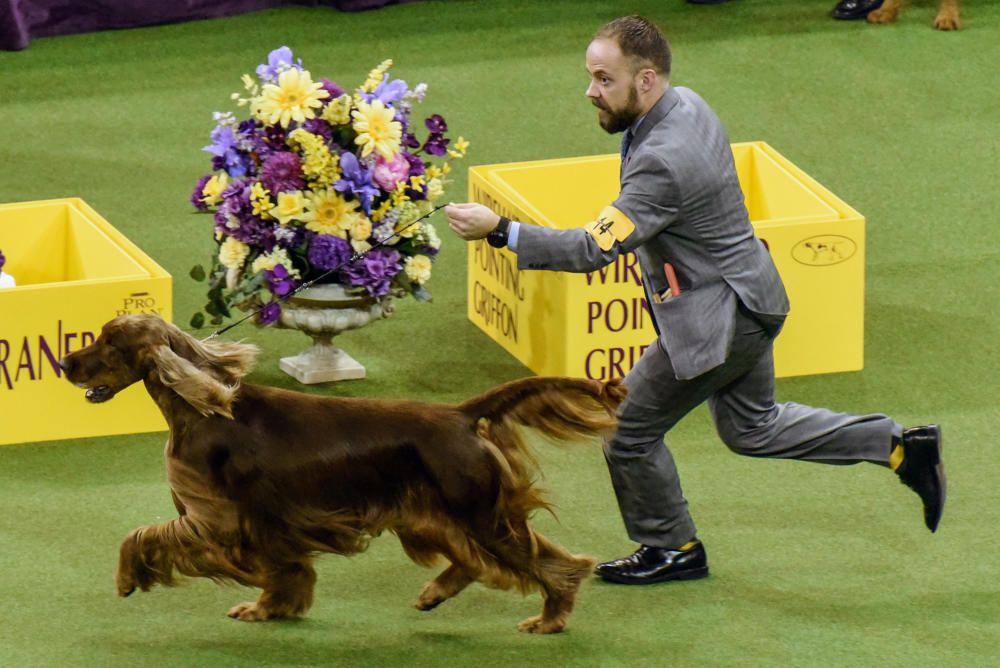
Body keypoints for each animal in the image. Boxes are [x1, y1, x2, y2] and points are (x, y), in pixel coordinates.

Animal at [58, 316, 624, 636]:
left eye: (111, 342)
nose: (63, 364)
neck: (203, 408)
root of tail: (461, 414)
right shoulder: (264, 525)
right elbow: (288, 572)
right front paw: (273, 607)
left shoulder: (218, 519)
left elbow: (139, 536)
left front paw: (128, 577)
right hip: (434, 514)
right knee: (476, 561)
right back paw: (434, 593)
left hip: (478, 514)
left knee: (556, 564)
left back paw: (551, 618)